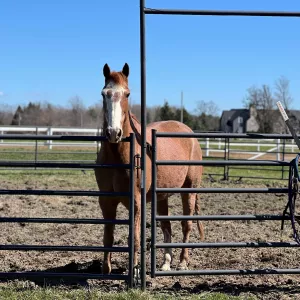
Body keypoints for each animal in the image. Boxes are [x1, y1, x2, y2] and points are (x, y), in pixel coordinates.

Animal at [95, 63, 205, 274]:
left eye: (127, 94)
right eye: (104, 93)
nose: (113, 133)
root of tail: (190, 134)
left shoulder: (136, 201)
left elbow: (135, 237)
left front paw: (135, 270)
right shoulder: (106, 200)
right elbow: (108, 236)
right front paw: (105, 270)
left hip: (189, 189)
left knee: (186, 224)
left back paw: (183, 262)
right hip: (161, 196)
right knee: (166, 226)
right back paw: (166, 263)